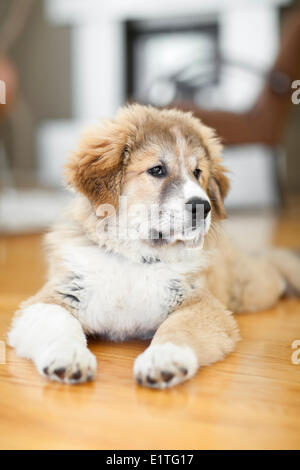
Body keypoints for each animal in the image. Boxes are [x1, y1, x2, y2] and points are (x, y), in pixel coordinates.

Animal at [7, 104, 300, 388]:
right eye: (157, 170)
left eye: (197, 173)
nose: (203, 207)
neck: (135, 257)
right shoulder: (57, 294)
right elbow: (56, 321)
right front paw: (67, 355)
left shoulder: (200, 303)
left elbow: (178, 329)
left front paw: (164, 359)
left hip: (253, 288)